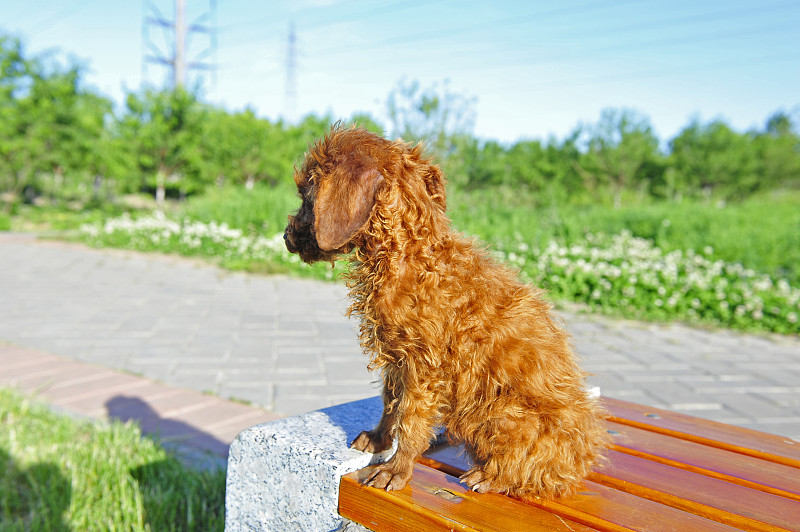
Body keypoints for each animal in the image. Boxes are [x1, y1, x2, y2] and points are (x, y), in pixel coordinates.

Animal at [284, 124, 608, 498]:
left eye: (306, 196)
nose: (285, 237)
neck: (408, 256)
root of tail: (581, 460)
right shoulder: (398, 357)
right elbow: (390, 402)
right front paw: (379, 439)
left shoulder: (425, 366)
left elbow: (410, 421)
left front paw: (396, 470)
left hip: (498, 412)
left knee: (531, 471)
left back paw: (491, 477)